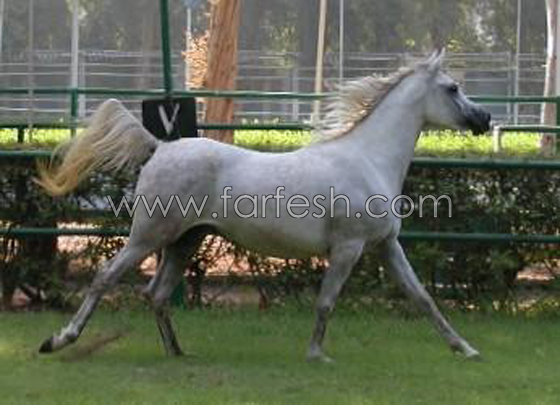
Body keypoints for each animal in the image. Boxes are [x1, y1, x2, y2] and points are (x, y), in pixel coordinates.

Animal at [36, 49, 490, 362]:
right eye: (452, 88)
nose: (484, 119)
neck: (367, 159)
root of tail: (160, 147)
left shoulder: (384, 245)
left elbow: (423, 297)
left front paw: (466, 349)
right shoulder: (348, 248)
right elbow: (326, 301)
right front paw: (316, 355)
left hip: (186, 240)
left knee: (157, 293)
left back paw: (177, 352)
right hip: (150, 235)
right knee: (105, 279)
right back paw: (58, 340)